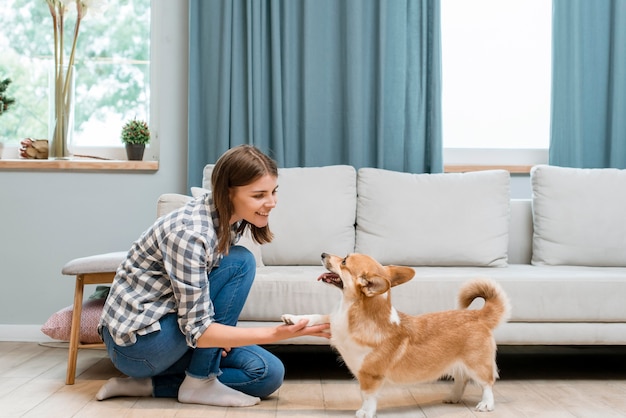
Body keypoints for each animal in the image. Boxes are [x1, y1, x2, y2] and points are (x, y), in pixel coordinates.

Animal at [280, 253, 510, 416]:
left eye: (344, 261)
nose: (322, 253)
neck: (352, 311)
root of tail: (478, 315)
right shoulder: (335, 323)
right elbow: (319, 316)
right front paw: (293, 319)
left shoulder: (370, 375)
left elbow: (367, 395)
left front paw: (365, 412)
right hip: (457, 363)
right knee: (461, 379)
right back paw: (453, 397)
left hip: (476, 363)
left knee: (487, 383)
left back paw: (486, 404)